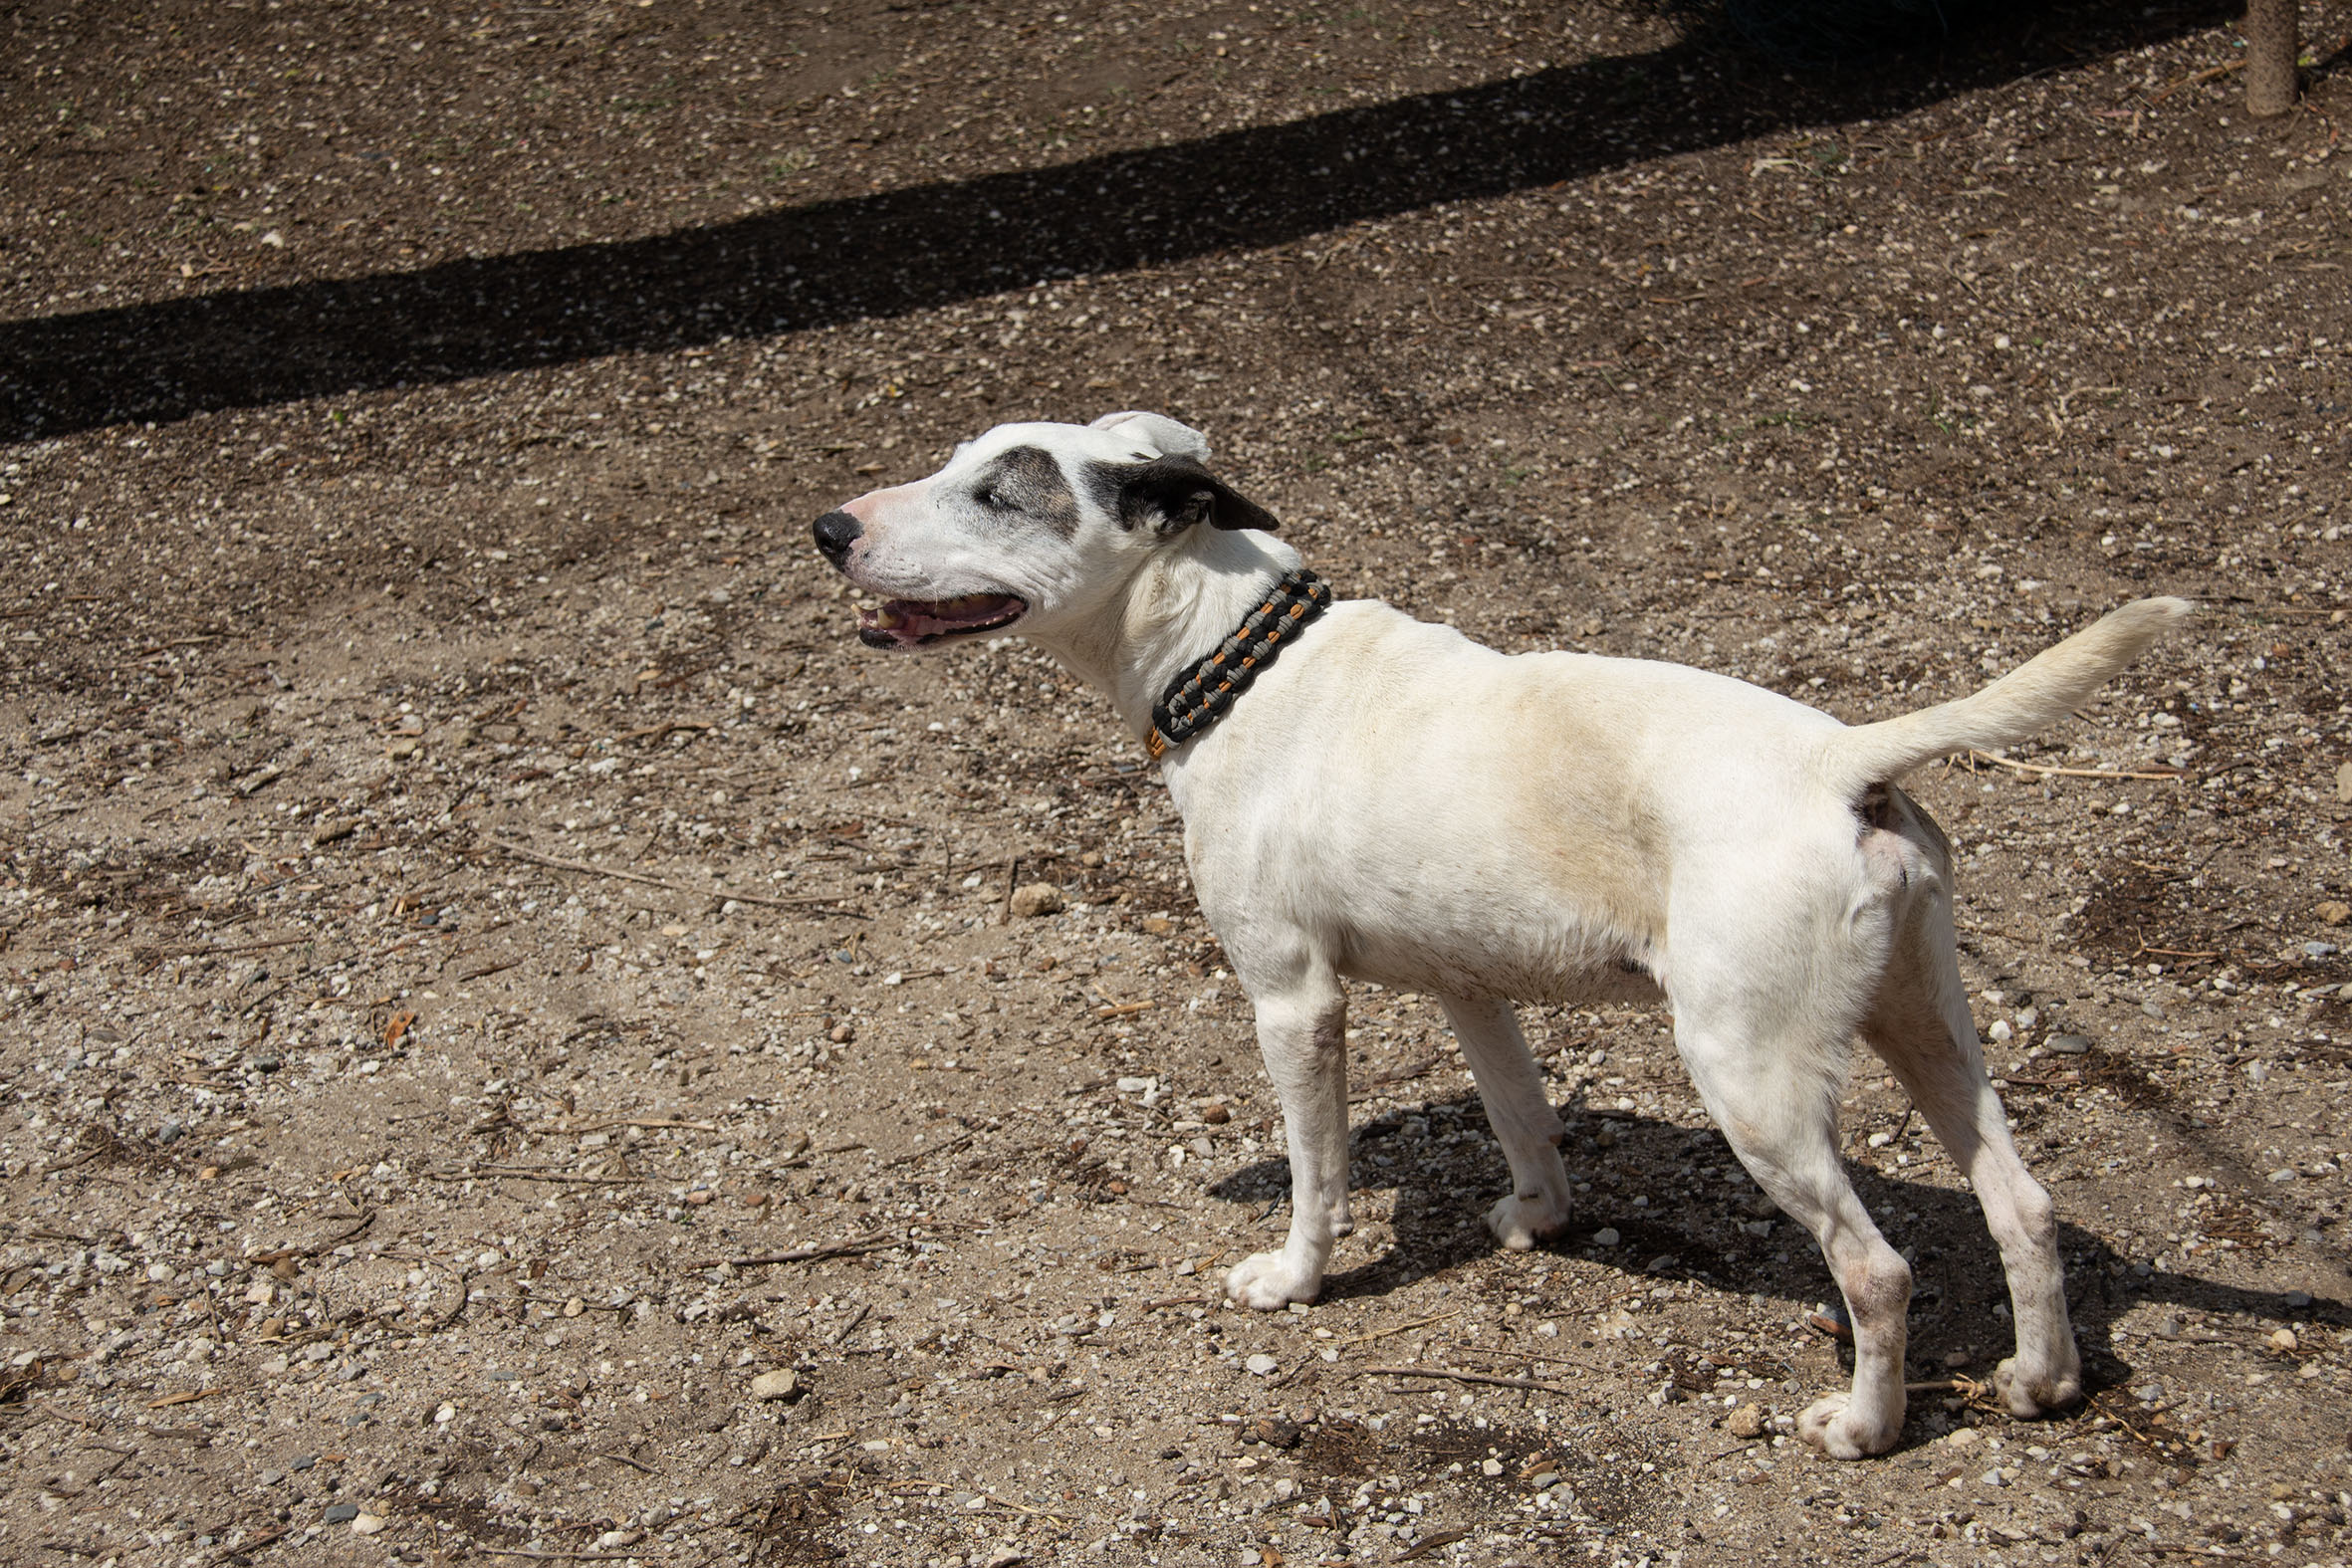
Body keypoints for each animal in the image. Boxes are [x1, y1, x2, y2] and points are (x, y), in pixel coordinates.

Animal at [812, 410, 2188, 1459]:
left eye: (998, 491)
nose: (830, 529)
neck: (1239, 659)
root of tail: (1842, 759)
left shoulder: (1294, 1001)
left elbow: (1318, 1175)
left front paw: (1294, 1280)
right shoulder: (1471, 989)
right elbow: (1522, 1117)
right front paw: (1538, 1220)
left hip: (1753, 1080)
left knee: (1879, 1271)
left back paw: (1863, 1426)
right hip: (1927, 1027)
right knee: (2023, 1206)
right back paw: (2040, 1382)